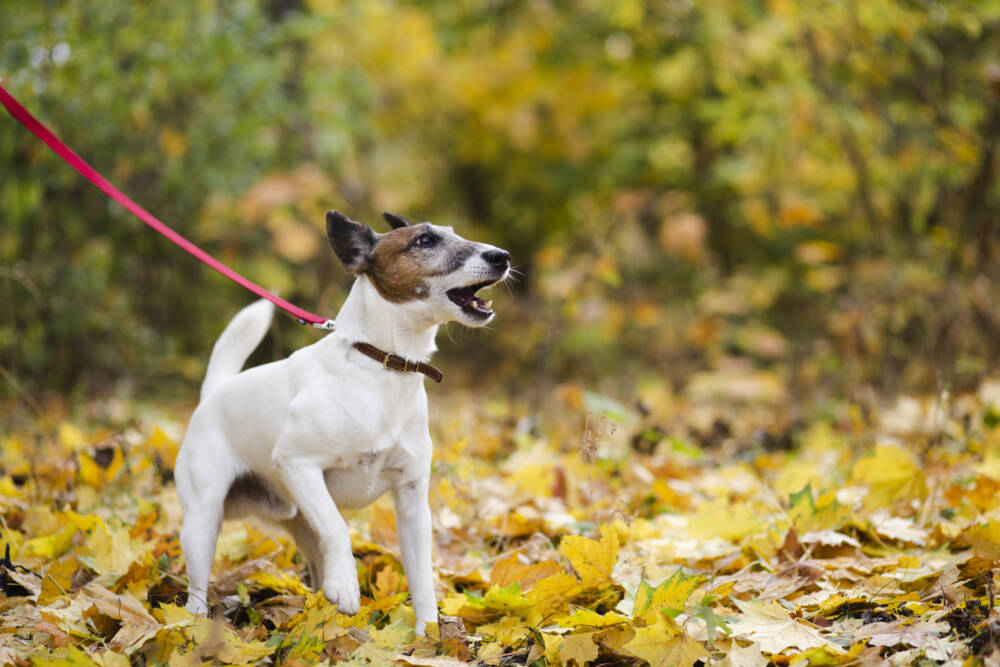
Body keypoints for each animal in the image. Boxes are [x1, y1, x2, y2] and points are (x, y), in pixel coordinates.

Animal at [173, 210, 512, 636]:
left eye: (454, 233)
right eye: (424, 241)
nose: (502, 256)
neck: (383, 366)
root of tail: (214, 393)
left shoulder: (413, 501)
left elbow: (421, 579)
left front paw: (429, 636)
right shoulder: (296, 462)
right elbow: (338, 528)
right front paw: (348, 587)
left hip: (299, 519)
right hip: (203, 519)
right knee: (197, 589)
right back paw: (193, 624)